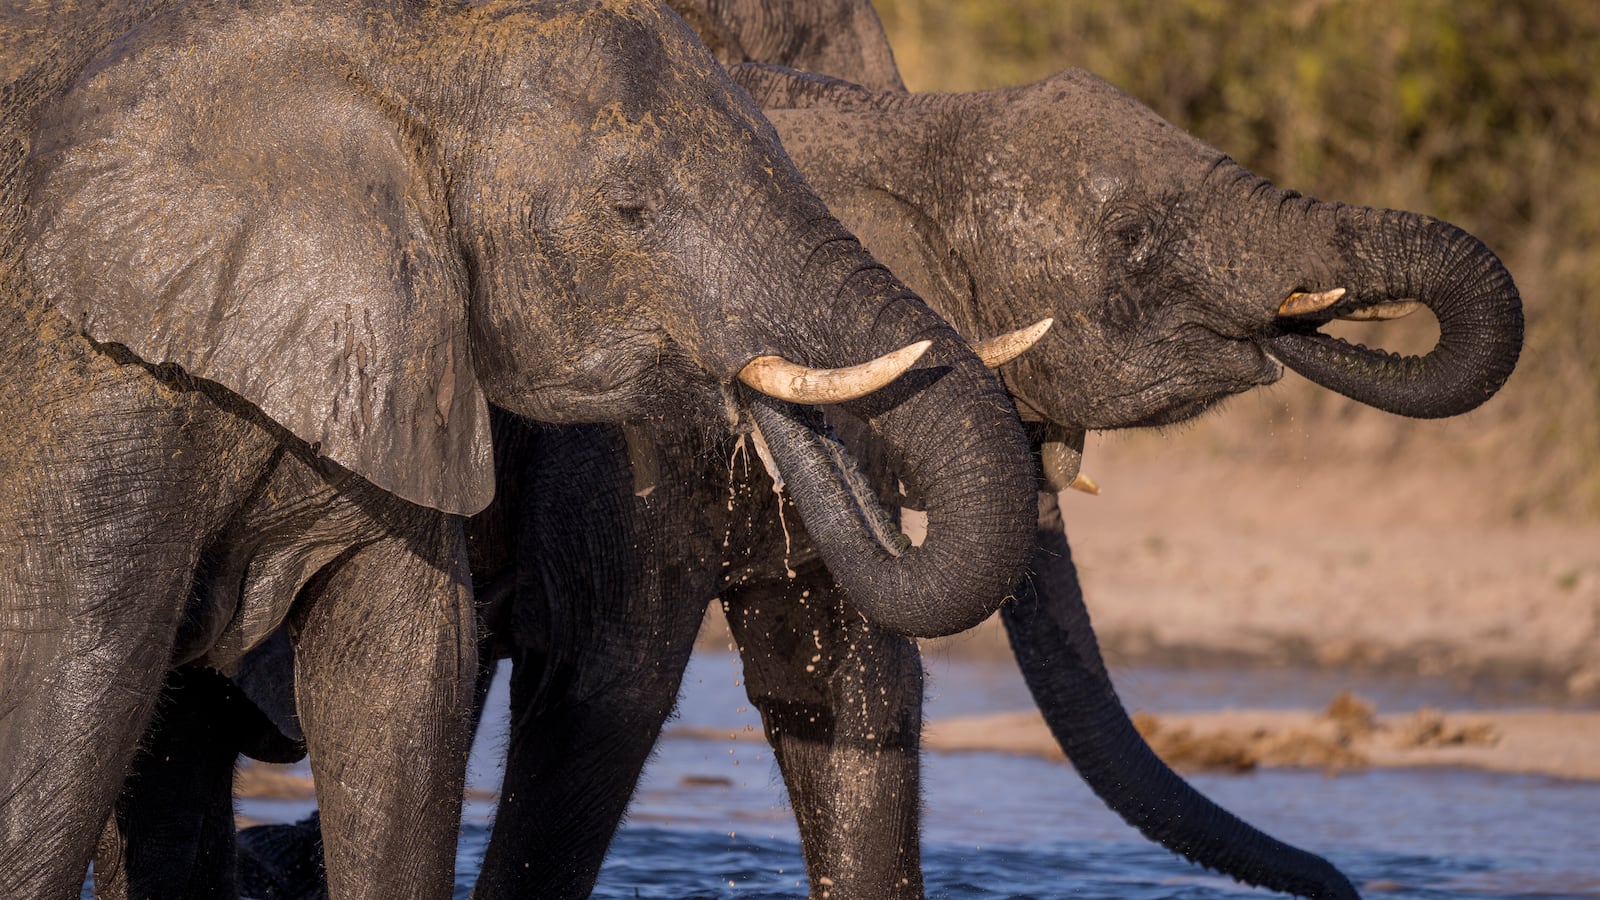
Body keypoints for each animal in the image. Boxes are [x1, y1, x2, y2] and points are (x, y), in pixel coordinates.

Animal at [0, 1, 1048, 896]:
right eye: (630, 206)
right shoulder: (92, 381)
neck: (383, 50)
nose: (751, 382)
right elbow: (73, 680)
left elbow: (401, 679)